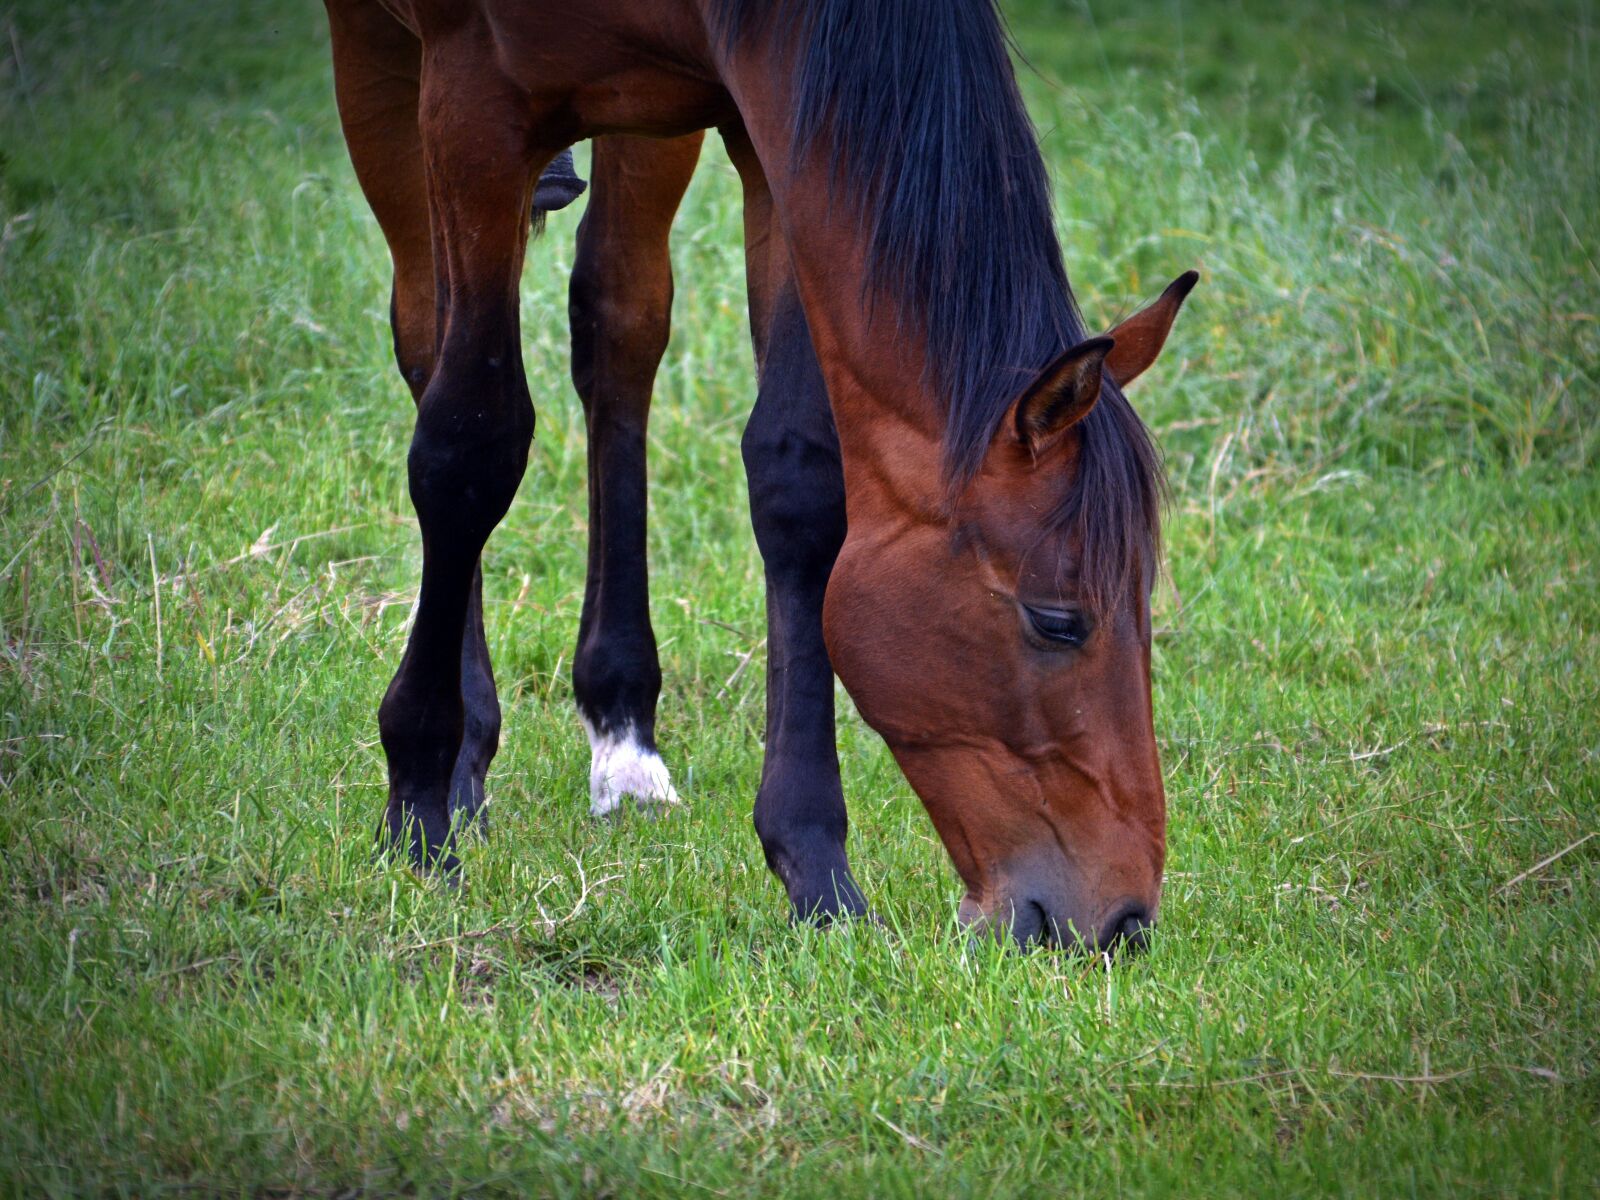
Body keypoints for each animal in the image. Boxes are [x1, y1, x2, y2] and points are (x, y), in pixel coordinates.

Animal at [323, 0, 1197, 951]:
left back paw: (624, 739)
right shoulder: (471, 104)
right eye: (1057, 621)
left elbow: (799, 481)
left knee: (618, 326)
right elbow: (468, 446)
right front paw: (416, 806)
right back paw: (465, 756)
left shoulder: (774, 122)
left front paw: (816, 871)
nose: (1122, 923)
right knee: (429, 338)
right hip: (388, 66)